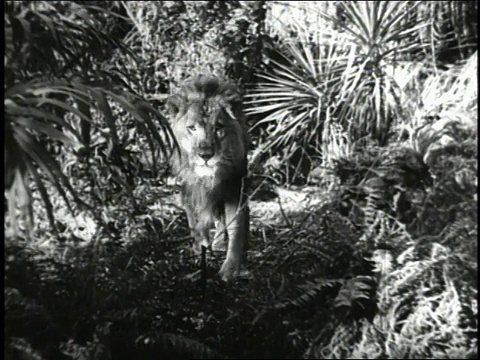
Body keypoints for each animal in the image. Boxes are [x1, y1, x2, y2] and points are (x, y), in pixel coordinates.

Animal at [167, 76, 251, 282]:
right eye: (191, 128)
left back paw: (220, 244)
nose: (206, 155)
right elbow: (194, 221)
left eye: (219, 128)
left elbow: (236, 227)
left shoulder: (234, 187)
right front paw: (201, 248)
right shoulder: (189, 189)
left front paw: (230, 269)